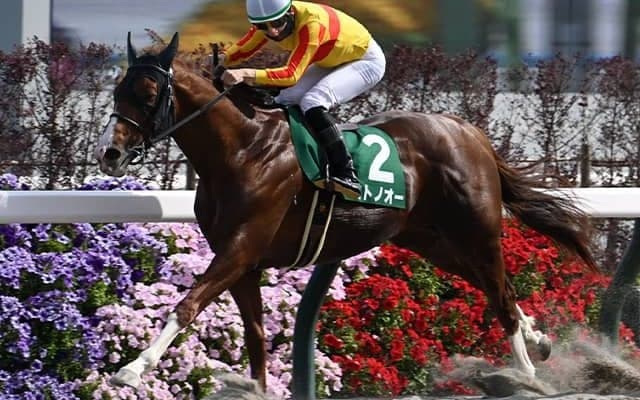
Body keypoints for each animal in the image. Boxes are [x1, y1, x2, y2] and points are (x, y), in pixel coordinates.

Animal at [93, 32, 597, 394]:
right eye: (117, 89)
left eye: (149, 93)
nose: (110, 154)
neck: (242, 148)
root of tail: (468, 130)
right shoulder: (243, 264)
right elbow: (255, 336)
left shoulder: (240, 248)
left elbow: (187, 304)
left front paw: (132, 369)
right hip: (431, 240)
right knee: (500, 289)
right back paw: (539, 340)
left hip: (478, 230)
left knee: (500, 296)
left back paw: (525, 372)